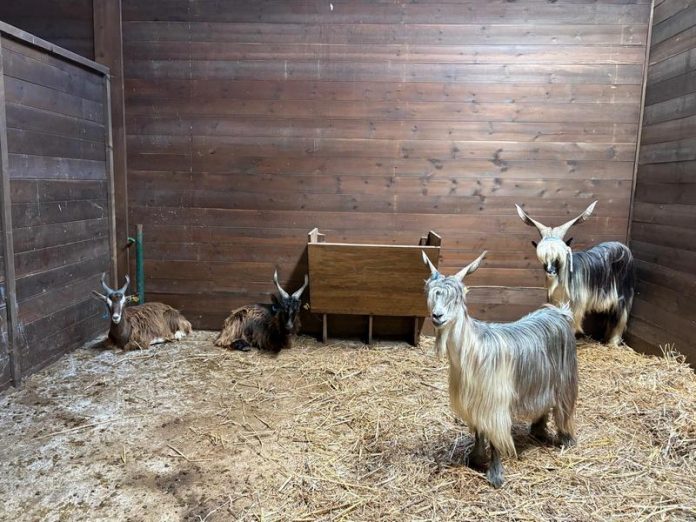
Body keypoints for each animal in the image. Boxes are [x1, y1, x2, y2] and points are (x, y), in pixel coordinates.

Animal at [422, 251, 577, 488]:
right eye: (431, 295)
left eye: (456, 298)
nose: (437, 316)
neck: (473, 351)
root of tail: (559, 312)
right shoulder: (474, 402)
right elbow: (479, 432)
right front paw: (475, 459)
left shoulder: (495, 402)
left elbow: (495, 439)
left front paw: (495, 474)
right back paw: (538, 430)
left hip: (565, 376)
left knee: (563, 406)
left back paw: (566, 439)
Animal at [515, 201, 635, 346]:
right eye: (543, 258)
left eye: (559, 257)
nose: (551, 272)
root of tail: (625, 249)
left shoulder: (576, 305)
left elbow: (572, 325)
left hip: (623, 295)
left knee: (620, 317)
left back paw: (613, 342)